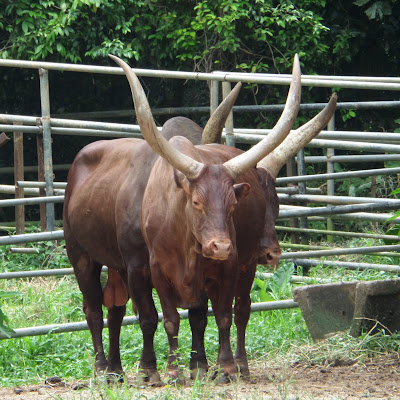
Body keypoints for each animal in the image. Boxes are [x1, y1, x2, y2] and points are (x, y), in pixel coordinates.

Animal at [63, 54, 338, 384]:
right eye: (196, 202)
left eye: (238, 205)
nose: (270, 253)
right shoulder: (142, 267)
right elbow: (152, 318)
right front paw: (154, 369)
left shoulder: (218, 268)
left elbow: (206, 316)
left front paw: (206, 366)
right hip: (81, 255)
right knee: (93, 309)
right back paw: (102, 367)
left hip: (123, 265)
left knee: (119, 309)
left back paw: (118, 370)